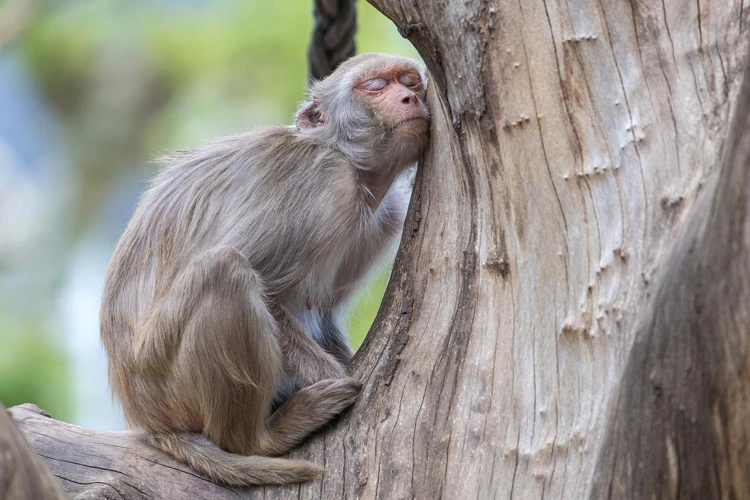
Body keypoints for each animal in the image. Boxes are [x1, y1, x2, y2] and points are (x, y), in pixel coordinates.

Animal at [99, 53, 428, 484]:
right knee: (225, 270)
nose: (409, 97)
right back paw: (260, 438)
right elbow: (267, 289)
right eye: (375, 86)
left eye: (410, 81)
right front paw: (337, 377)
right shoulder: (323, 185)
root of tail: (147, 418)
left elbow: (321, 311)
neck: (350, 163)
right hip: (166, 378)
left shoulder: (386, 215)